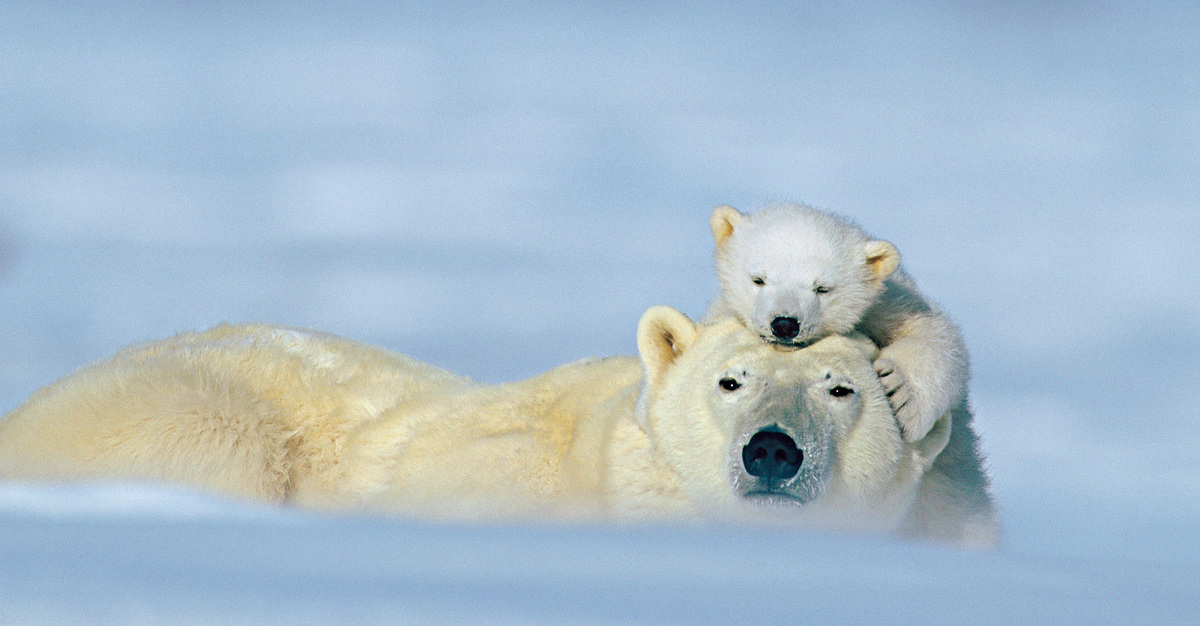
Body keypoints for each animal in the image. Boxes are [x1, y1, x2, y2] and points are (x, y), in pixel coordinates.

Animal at [705, 202, 969, 441]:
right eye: (758, 280)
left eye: (822, 288)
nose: (785, 324)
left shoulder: (889, 304)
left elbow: (934, 333)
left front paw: (898, 391)